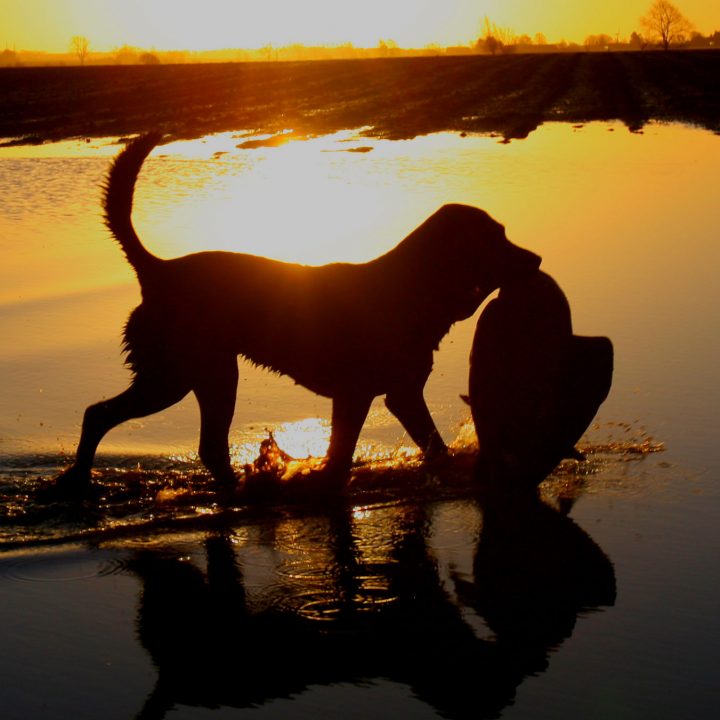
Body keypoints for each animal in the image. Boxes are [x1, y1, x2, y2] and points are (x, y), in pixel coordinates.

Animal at [50, 134, 540, 496]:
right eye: (495, 238)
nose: (536, 259)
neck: (412, 287)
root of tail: (158, 269)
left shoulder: (397, 394)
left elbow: (424, 446)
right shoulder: (361, 394)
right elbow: (347, 455)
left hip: (201, 374)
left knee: (192, 442)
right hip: (179, 376)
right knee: (106, 416)